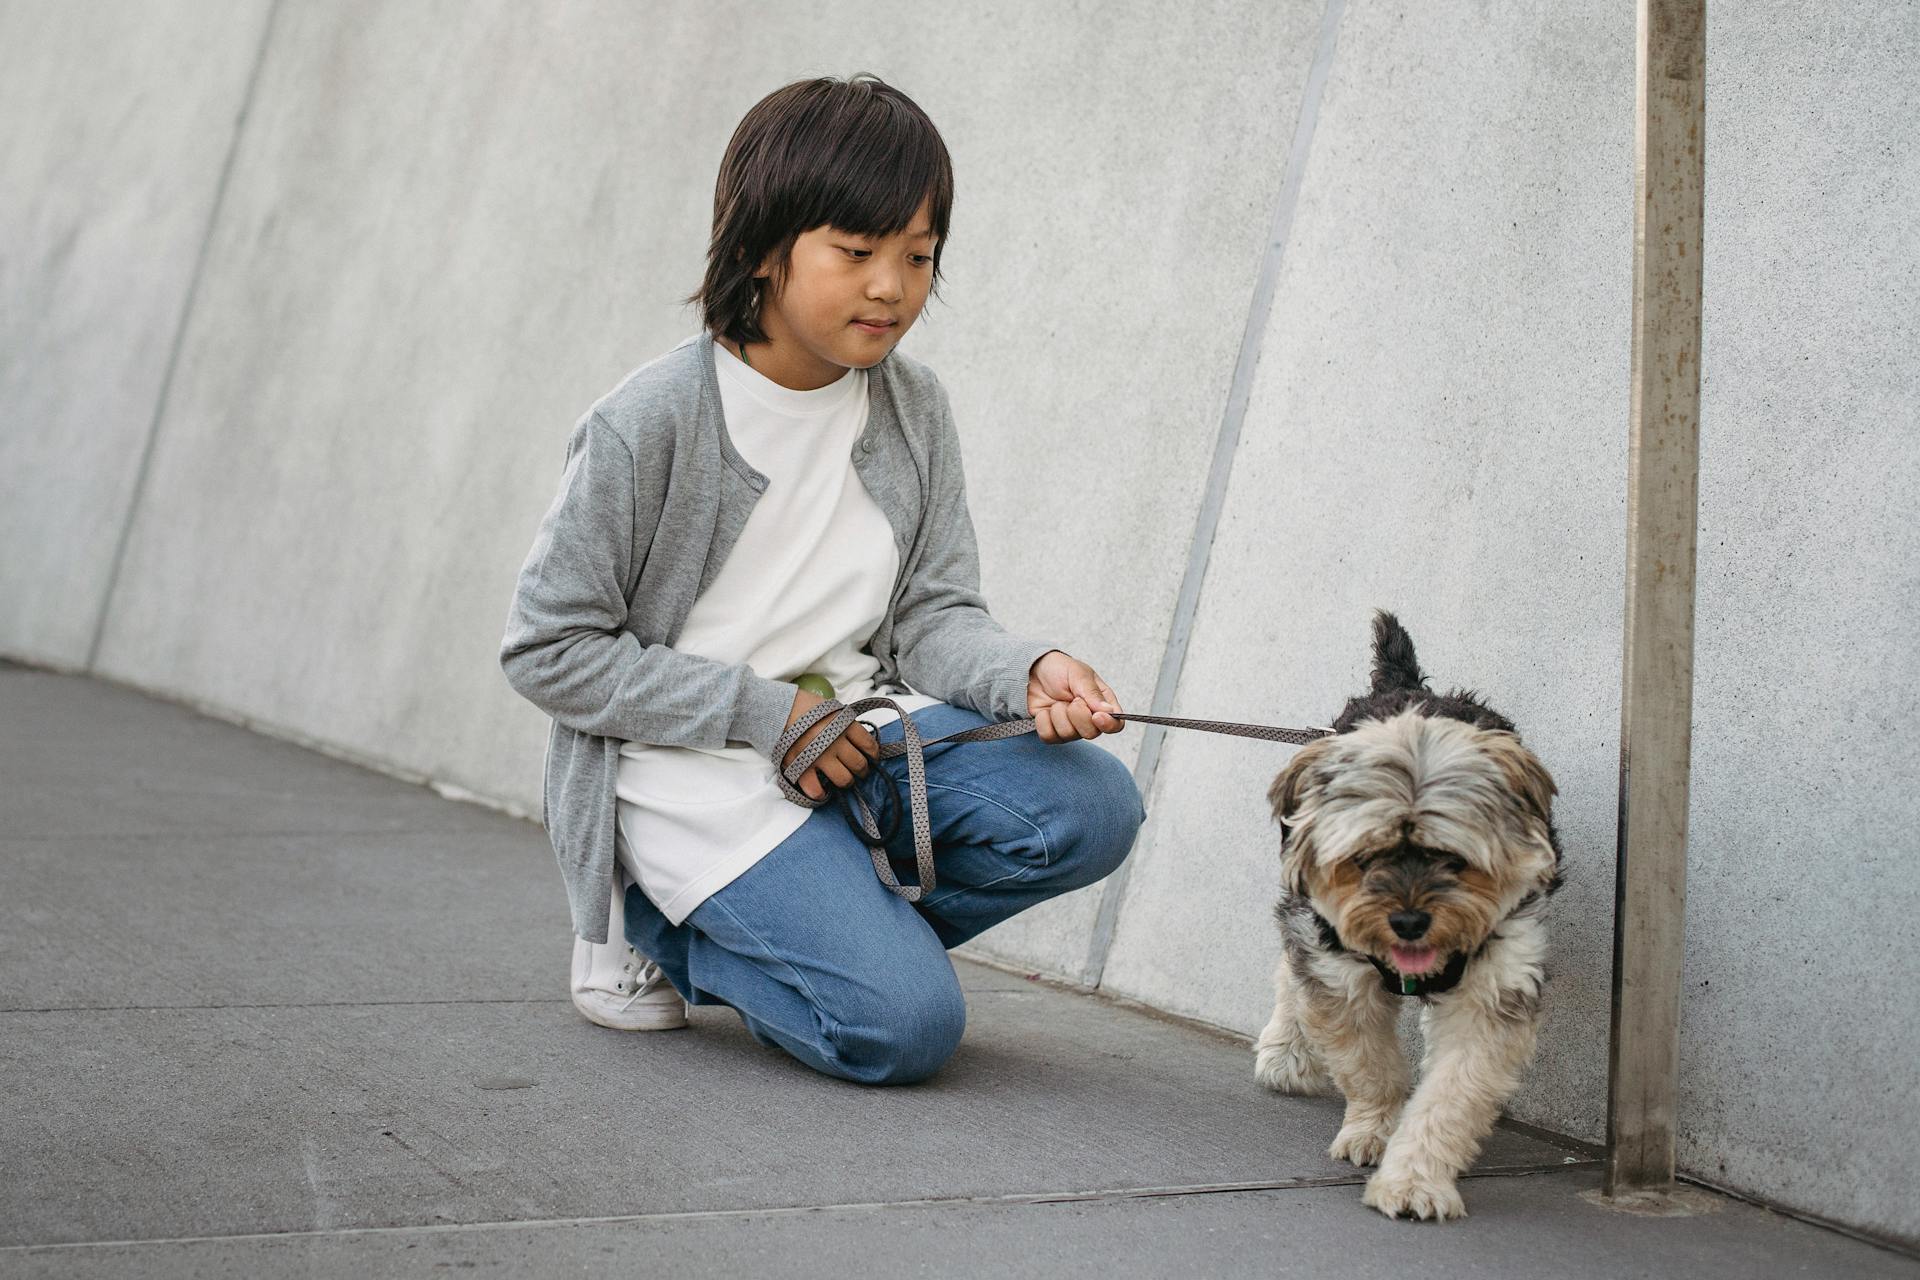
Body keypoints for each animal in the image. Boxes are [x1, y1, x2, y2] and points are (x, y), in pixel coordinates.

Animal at [1259, 614, 1559, 1228]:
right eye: (1365, 857)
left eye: (1454, 859)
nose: (1410, 921)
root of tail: (1403, 683)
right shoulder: (1339, 972)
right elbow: (1369, 1064)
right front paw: (1373, 1131)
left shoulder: (1496, 982)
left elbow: (1453, 1093)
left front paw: (1416, 1180)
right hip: (1308, 917)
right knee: (1291, 965)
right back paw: (1284, 1050)